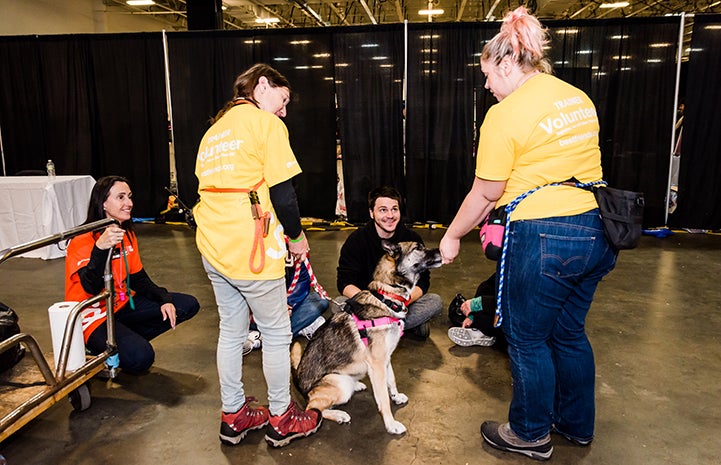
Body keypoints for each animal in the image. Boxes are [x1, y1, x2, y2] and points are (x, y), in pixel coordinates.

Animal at [292, 241, 438, 434]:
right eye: (418, 248)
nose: (441, 251)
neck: (386, 297)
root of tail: (300, 385)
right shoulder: (377, 365)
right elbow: (383, 398)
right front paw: (391, 424)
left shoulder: (386, 359)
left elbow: (391, 380)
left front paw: (396, 396)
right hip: (339, 385)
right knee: (313, 409)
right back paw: (339, 414)